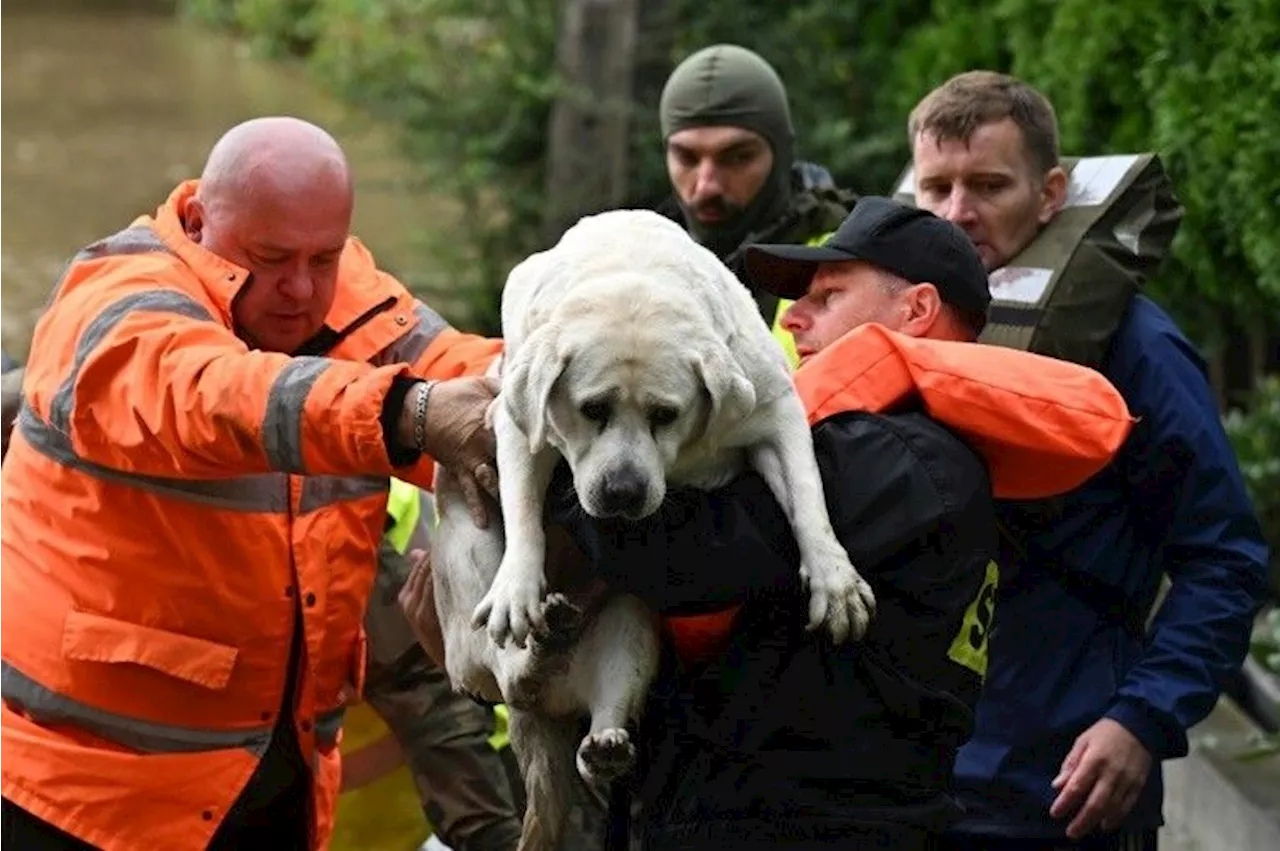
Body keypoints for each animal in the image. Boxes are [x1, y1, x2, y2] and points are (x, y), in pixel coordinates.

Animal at [435, 207, 875, 849]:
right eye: (592, 409)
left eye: (665, 414)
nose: (623, 493)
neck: (632, 278)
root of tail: (541, 712)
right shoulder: (514, 423)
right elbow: (521, 508)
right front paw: (518, 586)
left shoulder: (774, 411)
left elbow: (808, 495)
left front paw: (835, 580)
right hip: (464, 569)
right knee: (503, 667)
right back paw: (534, 636)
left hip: (632, 628)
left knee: (598, 705)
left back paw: (600, 735)